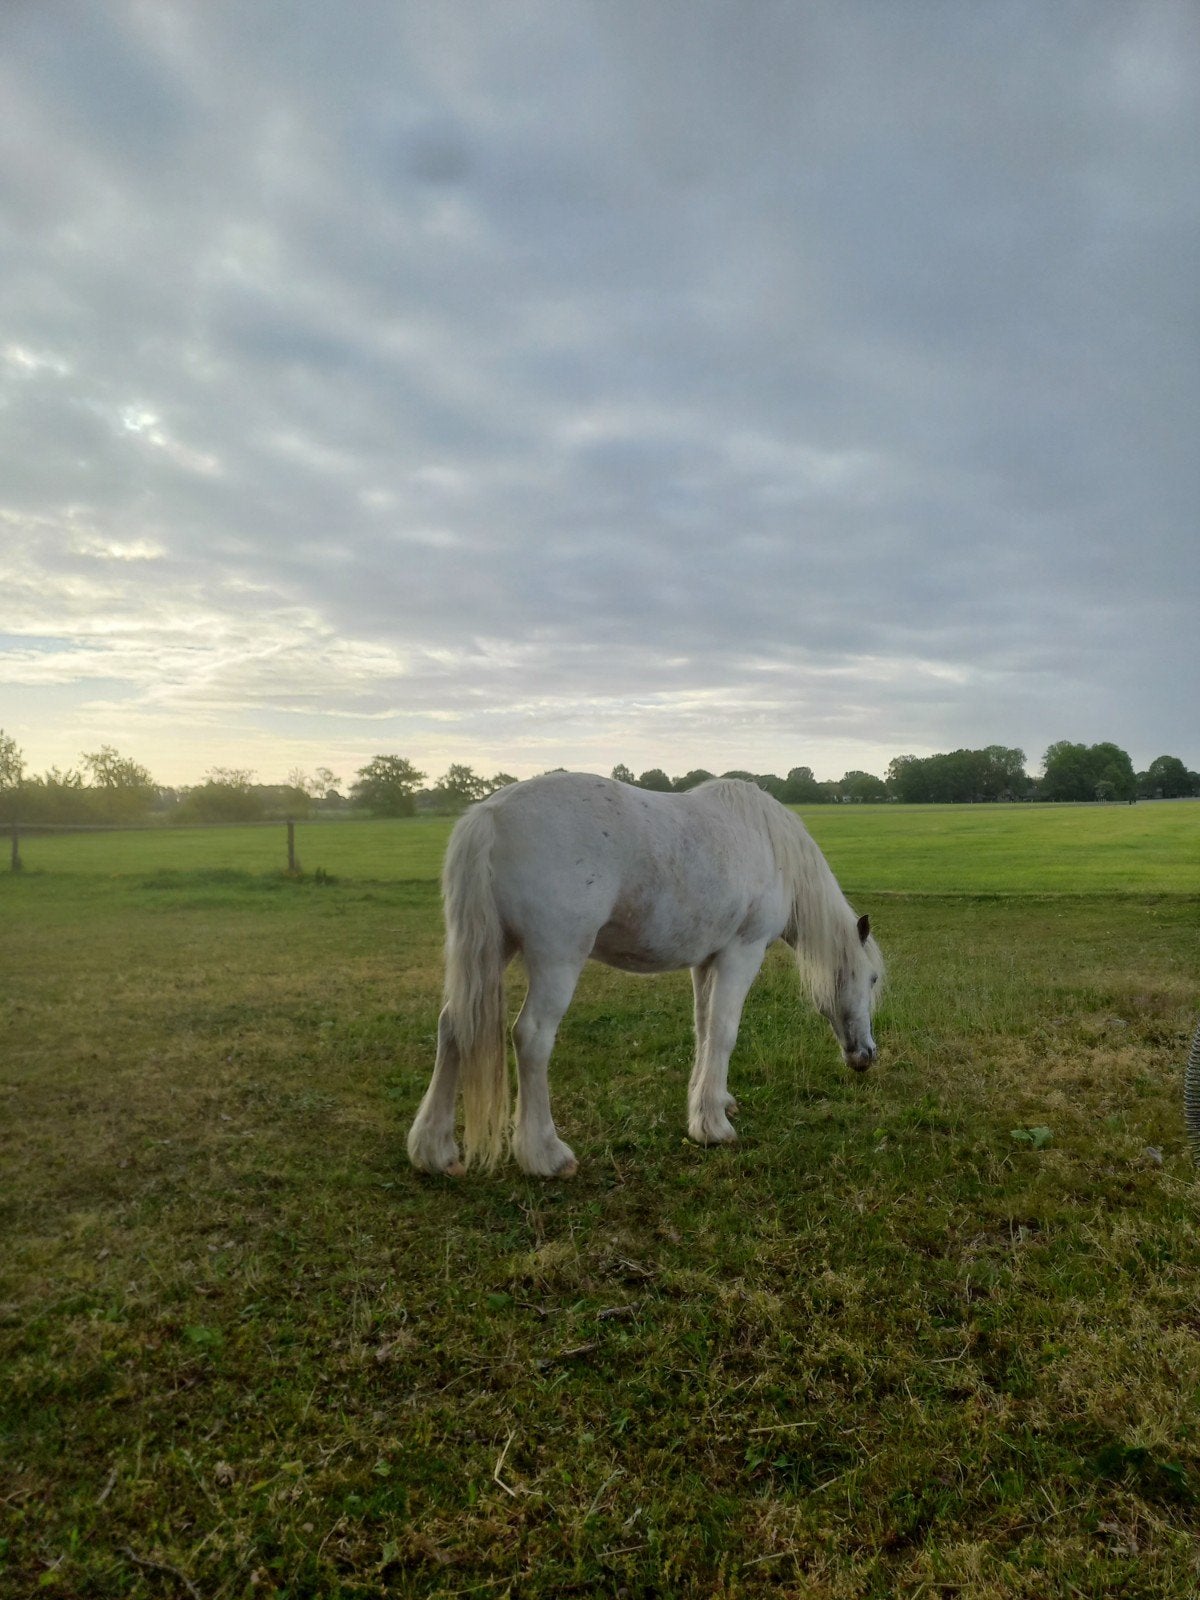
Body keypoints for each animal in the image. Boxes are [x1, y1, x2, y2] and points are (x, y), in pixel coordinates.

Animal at [407, 771, 884, 1179]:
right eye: (872, 980)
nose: (867, 1055)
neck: (770, 846)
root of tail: (490, 814)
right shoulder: (740, 954)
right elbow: (724, 1032)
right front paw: (712, 1127)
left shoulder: (706, 960)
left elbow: (703, 1029)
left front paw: (713, 1104)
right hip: (557, 958)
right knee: (531, 1037)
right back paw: (545, 1155)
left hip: (492, 951)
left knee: (454, 1026)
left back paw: (435, 1151)